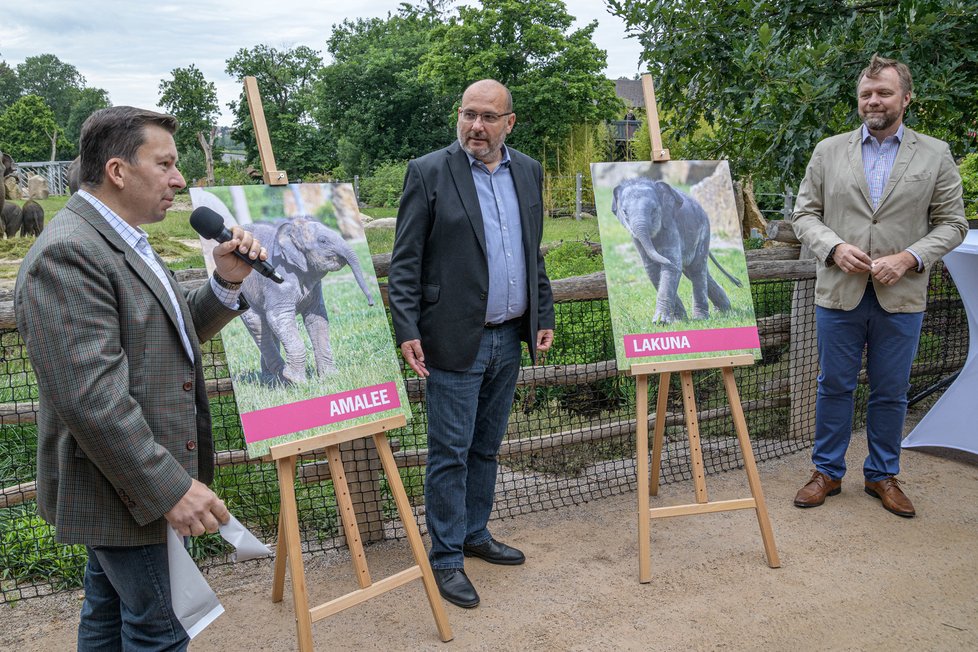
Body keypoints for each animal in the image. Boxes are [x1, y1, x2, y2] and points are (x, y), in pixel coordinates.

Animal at [238, 216, 376, 384]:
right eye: (323, 241)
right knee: (258, 326)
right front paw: (297, 381)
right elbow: (279, 317)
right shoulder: (279, 279)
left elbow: (317, 318)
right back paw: (283, 379)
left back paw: (273, 381)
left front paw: (330, 377)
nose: (371, 303)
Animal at [608, 177, 740, 322]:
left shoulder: (670, 225)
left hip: (704, 232)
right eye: (625, 212)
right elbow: (652, 269)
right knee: (694, 271)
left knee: (696, 269)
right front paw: (679, 320)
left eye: (654, 210)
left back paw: (701, 318)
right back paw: (724, 310)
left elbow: (672, 266)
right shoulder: (635, 238)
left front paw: (661, 322)